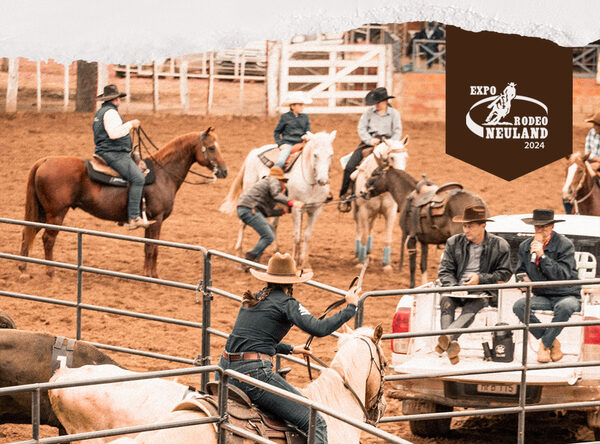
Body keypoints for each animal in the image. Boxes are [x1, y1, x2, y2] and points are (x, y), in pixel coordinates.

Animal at [19, 126, 227, 278]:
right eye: (211, 147)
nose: (224, 171)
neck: (163, 174)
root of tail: (45, 160)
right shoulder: (157, 219)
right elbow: (153, 249)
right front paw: (152, 277)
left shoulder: (150, 221)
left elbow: (147, 248)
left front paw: (147, 274)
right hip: (56, 213)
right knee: (48, 239)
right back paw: (50, 271)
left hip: (43, 212)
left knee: (27, 232)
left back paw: (23, 268)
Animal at [219, 130, 336, 268]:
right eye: (315, 155)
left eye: (331, 155)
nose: (323, 181)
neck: (310, 183)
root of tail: (254, 151)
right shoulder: (297, 210)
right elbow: (297, 237)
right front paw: (294, 262)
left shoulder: (316, 210)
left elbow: (307, 236)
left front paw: (304, 263)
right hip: (249, 190)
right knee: (242, 223)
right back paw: (239, 254)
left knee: (273, 224)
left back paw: (275, 251)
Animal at [352, 137, 408, 272]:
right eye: (391, 157)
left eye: (406, 157)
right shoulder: (363, 210)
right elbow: (363, 236)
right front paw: (361, 262)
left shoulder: (391, 212)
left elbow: (387, 238)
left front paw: (386, 265)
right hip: (357, 210)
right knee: (359, 229)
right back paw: (358, 254)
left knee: (370, 227)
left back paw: (368, 252)